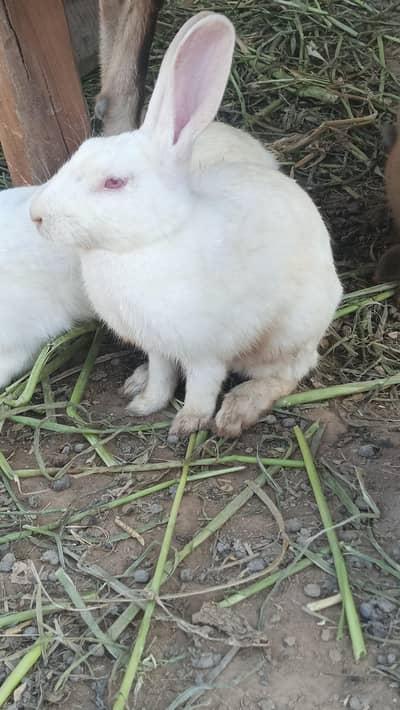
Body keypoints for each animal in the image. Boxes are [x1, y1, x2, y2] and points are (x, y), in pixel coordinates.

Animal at [30, 11, 342, 440]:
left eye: (114, 182)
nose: (37, 215)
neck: (151, 239)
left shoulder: (206, 351)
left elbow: (201, 386)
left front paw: (188, 424)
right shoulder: (158, 345)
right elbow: (163, 374)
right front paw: (145, 405)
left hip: (288, 334)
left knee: (288, 374)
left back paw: (236, 412)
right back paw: (137, 381)